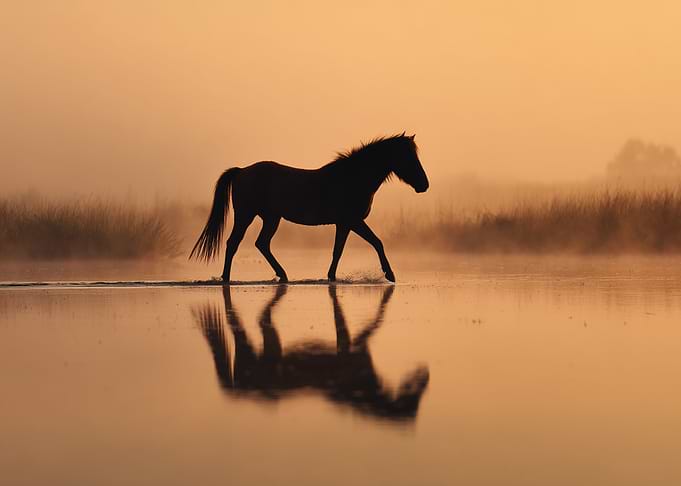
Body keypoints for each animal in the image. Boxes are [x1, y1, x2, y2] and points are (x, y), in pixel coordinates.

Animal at [189, 134, 429, 282]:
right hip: (246, 215)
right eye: (408, 157)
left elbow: (338, 250)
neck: (352, 178)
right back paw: (226, 278)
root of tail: (241, 171)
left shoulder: (344, 224)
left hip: (271, 218)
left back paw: (282, 274)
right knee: (234, 243)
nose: (424, 185)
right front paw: (390, 274)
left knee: (262, 243)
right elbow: (377, 242)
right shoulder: (353, 221)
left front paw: (331, 277)